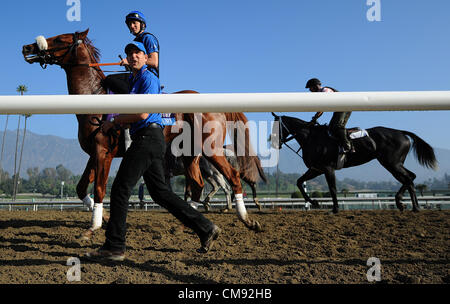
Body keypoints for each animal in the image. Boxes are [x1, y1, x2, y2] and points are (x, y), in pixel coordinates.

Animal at [22, 29, 262, 238]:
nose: (27, 47)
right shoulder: (94, 153)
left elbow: (99, 187)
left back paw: (247, 219)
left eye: (60, 39)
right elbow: (81, 187)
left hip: (210, 149)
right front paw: (104, 217)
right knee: (197, 185)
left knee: (232, 177)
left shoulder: (104, 152)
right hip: (190, 155)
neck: (96, 97)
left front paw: (94, 226)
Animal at [268, 112, 438, 214]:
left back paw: (406, 204)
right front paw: (315, 202)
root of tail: (401, 132)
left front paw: (335, 209)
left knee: (408, 178)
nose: (273, 142)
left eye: (276, 127)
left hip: (392, 163)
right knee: (411, 177)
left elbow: (332, 189)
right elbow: (299, 182)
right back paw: (410, 205)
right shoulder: (316, 169)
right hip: (394, 163)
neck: (311, 138)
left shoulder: (328, 168)